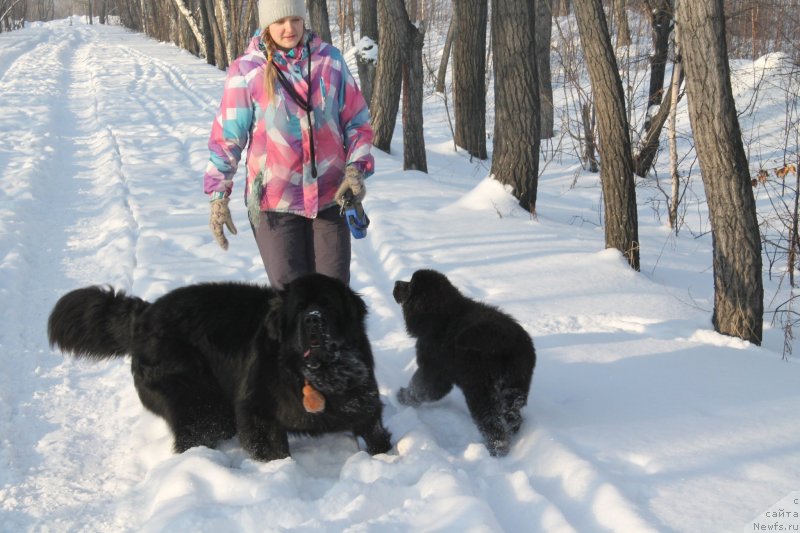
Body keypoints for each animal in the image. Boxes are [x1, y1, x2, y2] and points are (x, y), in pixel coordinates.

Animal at [47, 272, 390, 460]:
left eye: (328, 305)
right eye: (299, 309)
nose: (314, 320)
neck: (318, 374)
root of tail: (143, 314)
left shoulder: (363, 399)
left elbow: (374, 431)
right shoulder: (255, 410)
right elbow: (271, 447)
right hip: (197, 401)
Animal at [394, 268, 536, 456]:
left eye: (410, 285)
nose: (396, 283)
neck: (441, 313)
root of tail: (506, 340)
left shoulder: (434, 371)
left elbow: (420, 388)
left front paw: (403, 397)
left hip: (480, 391)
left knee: (492, 423)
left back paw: (496, 449)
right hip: (515, 387)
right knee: (512, 416)